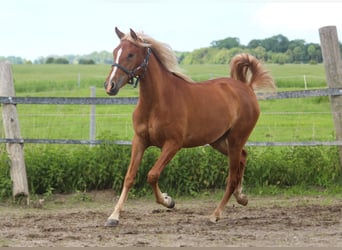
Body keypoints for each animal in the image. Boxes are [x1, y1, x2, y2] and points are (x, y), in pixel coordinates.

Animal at [102, 27, 276, 227]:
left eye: (130, 54)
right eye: (115, 52)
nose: (110, 86)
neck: (157, 102)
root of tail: (247, 88)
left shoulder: (173, 144)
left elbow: (152, 175)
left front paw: (168, 201)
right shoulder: (140, 140)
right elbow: (129, 177)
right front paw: (113, 216)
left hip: (235, 140)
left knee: (231, 178)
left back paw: (215, 214)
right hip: (219, 141)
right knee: (244, 156)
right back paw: (242, 197)